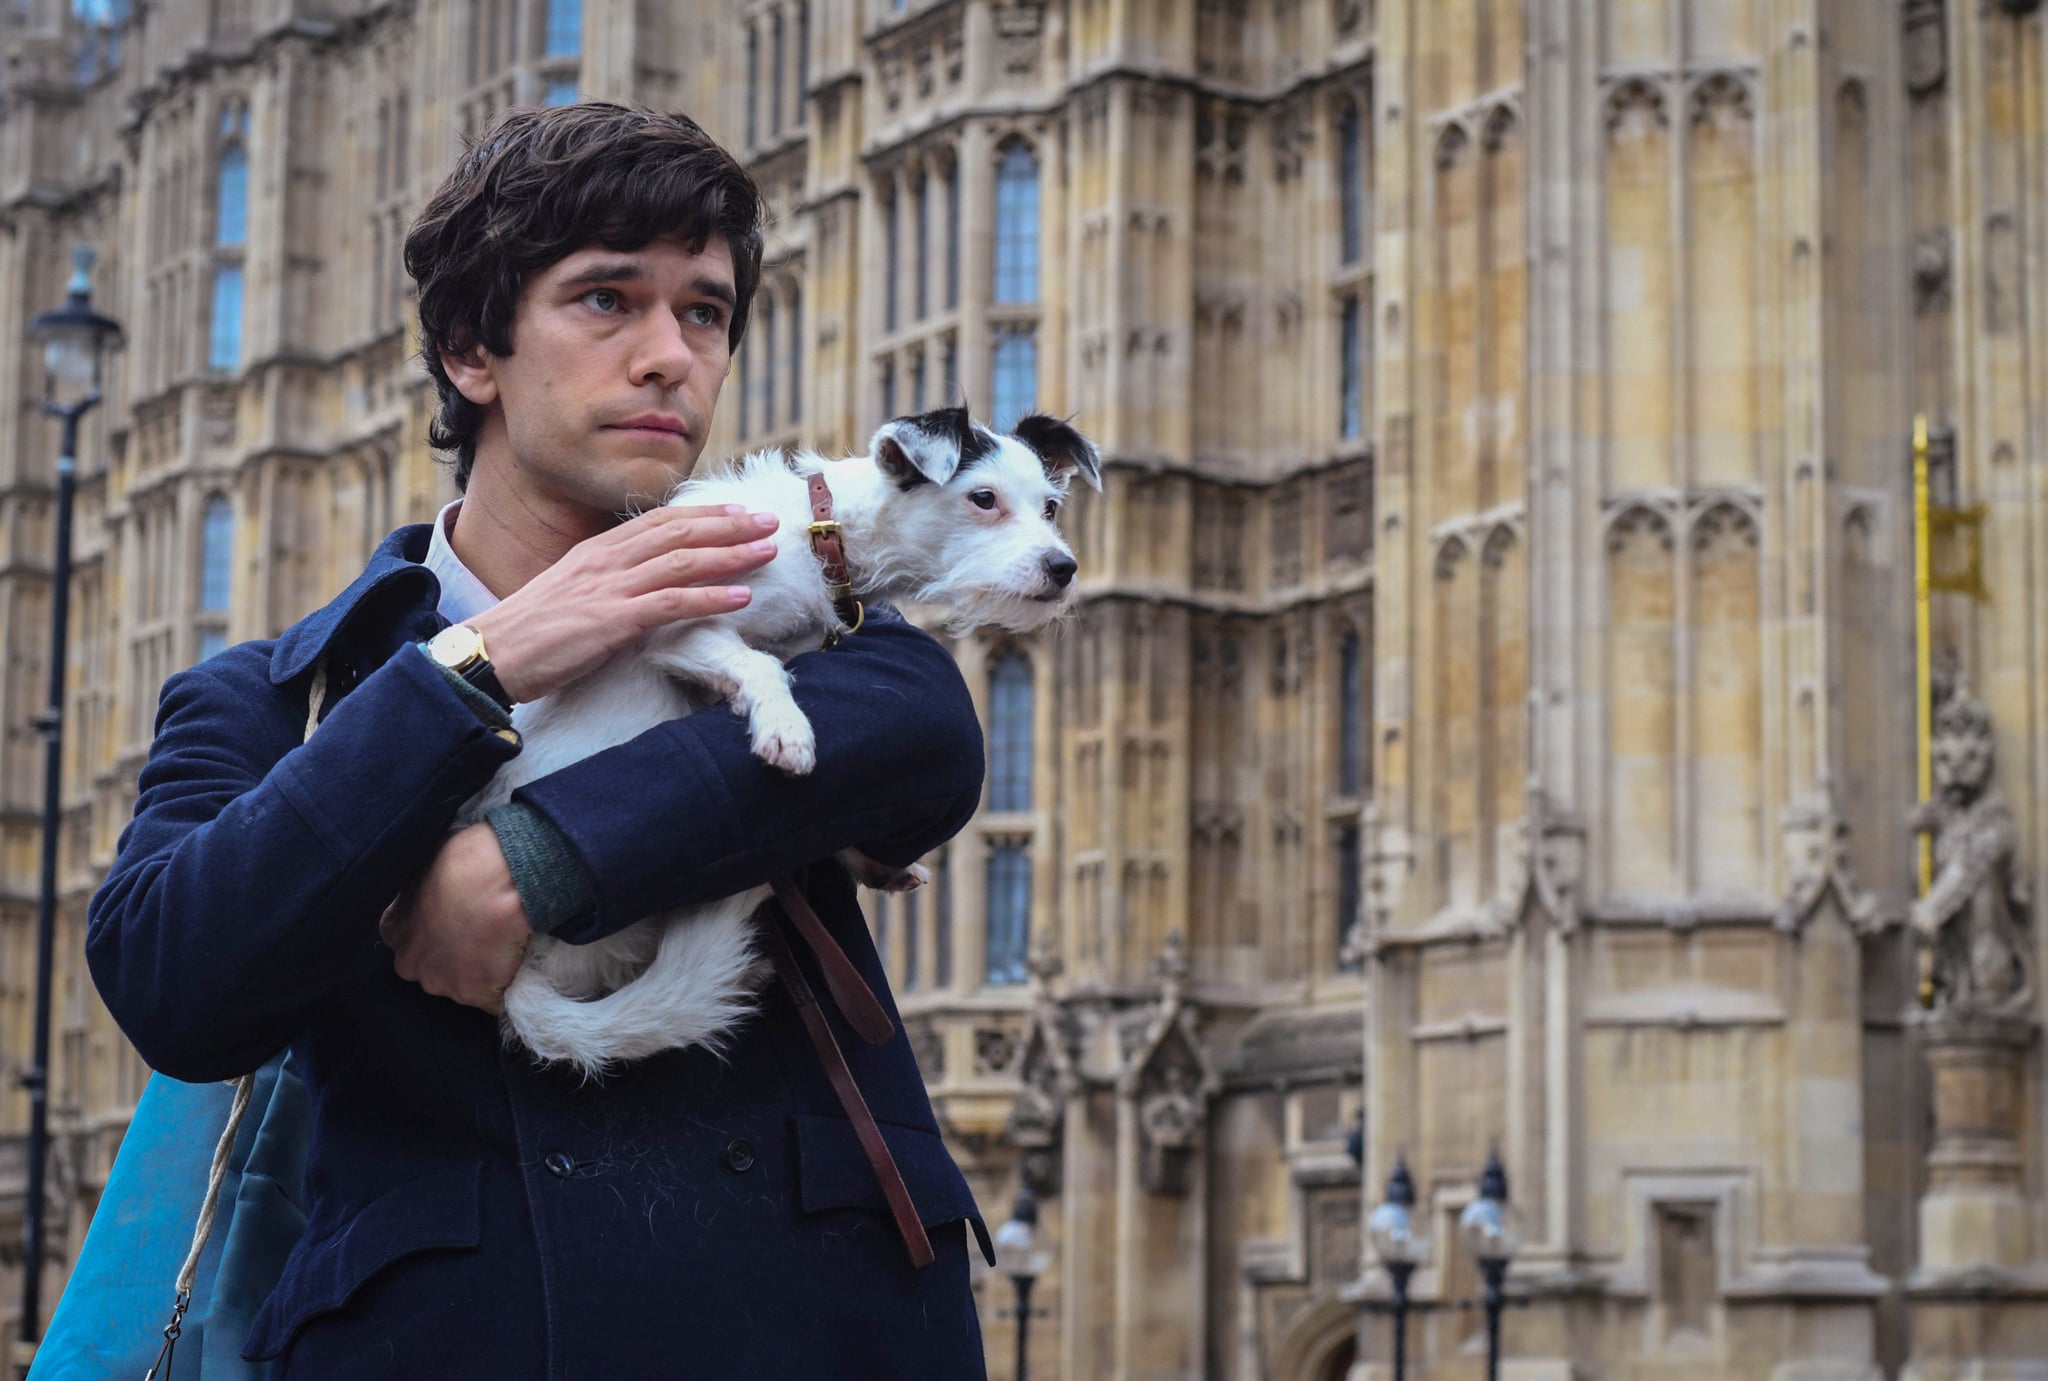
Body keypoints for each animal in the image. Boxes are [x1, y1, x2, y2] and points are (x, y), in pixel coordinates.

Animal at [460, 409, 1105, 1073]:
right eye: (983, 499)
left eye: (1050, 506)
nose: (1064, 568)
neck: (823, 531)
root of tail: (520, 979)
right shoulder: (676, 629)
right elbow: (761, 665)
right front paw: (785, 730)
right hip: (643, 701)